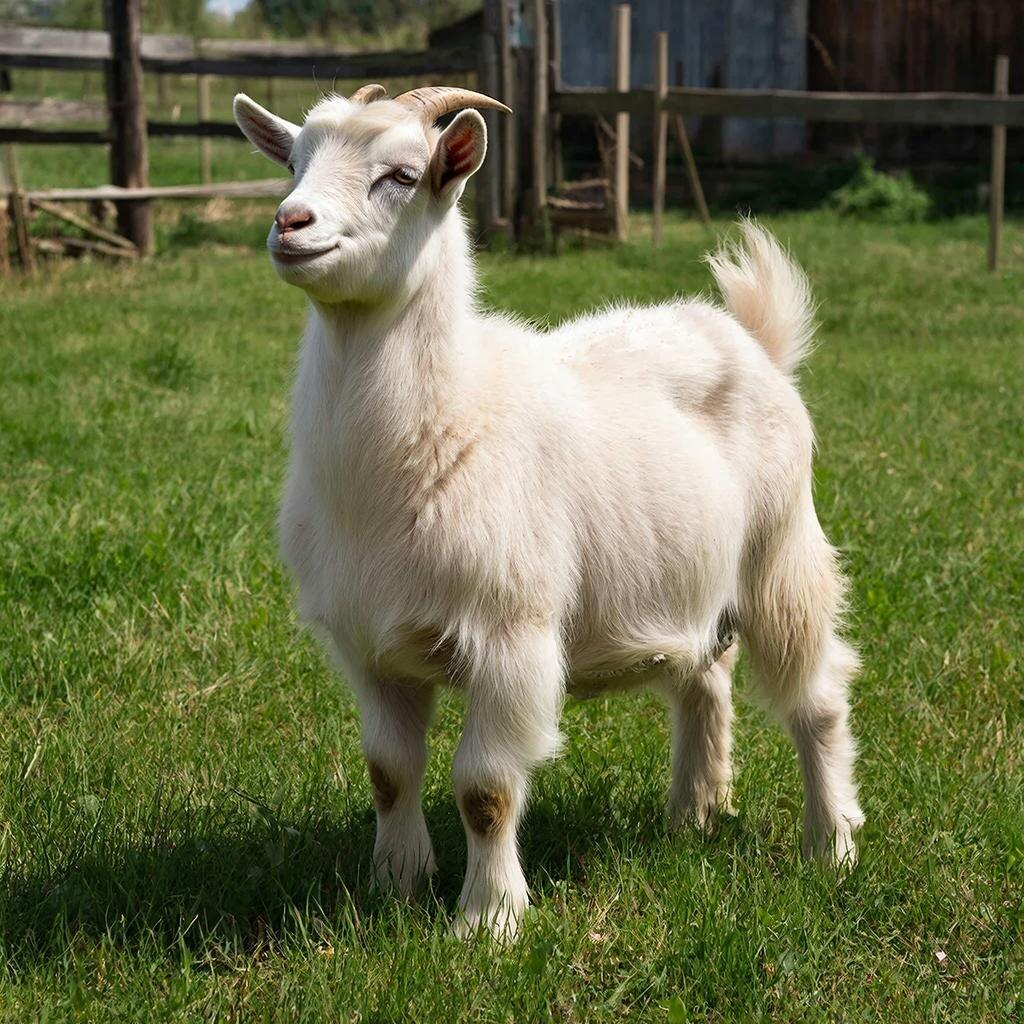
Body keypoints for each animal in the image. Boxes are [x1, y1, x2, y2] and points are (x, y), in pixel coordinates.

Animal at [233, 84, 864, 940]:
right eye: (293, 162)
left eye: (402, 175)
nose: (290, 224)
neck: (450, 418)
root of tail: (753, 338)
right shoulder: (370, 645)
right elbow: (390, 772)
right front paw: (395, 886)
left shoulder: (511, 633)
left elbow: (486, 788)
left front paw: (489, 919)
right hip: (690, 576)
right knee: (705, 681)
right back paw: (693, 815)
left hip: (782, 552)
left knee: (818, 697)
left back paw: (831, 844)